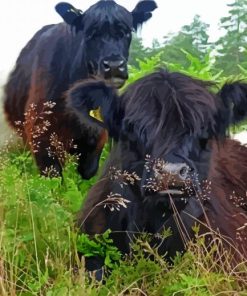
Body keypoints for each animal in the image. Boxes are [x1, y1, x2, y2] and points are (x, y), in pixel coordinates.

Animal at [3, 0, 156, 178]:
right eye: (89, 34)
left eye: (126, 32)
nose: (113, 66)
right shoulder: (40, 135)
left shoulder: (95, 137)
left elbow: (88, 172)